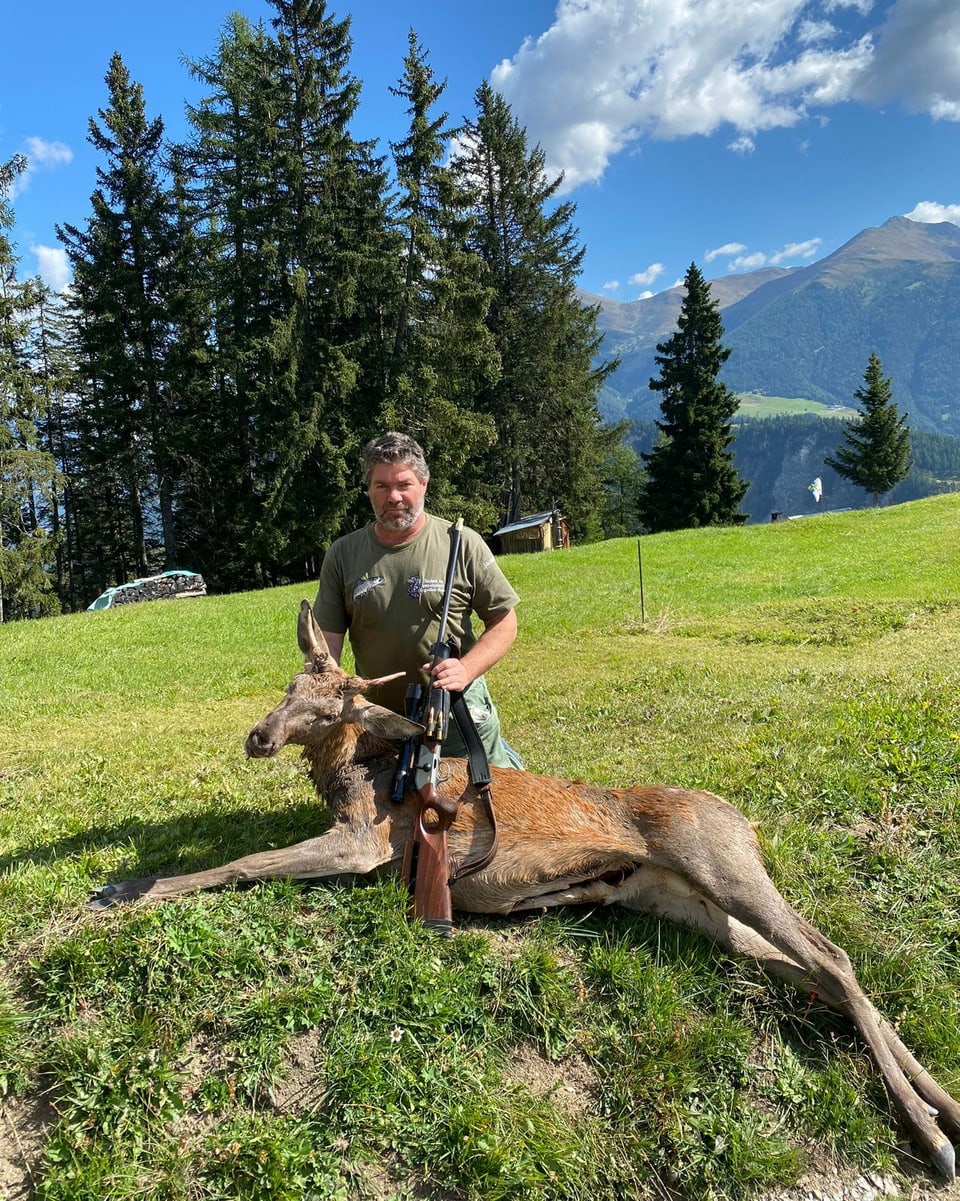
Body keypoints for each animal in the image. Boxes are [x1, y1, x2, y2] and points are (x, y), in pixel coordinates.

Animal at [93, 600, 960, 1172]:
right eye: (285, 690)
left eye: (330, 705)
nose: (259, 735)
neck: (357, 773)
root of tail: (744, 819)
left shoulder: (364, 842)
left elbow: (239, 865)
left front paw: (125, 889)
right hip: (685, 901)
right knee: (819, 972)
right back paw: (943, 1108)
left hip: (723, 862)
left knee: (835, 955)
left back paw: (932, 1134)